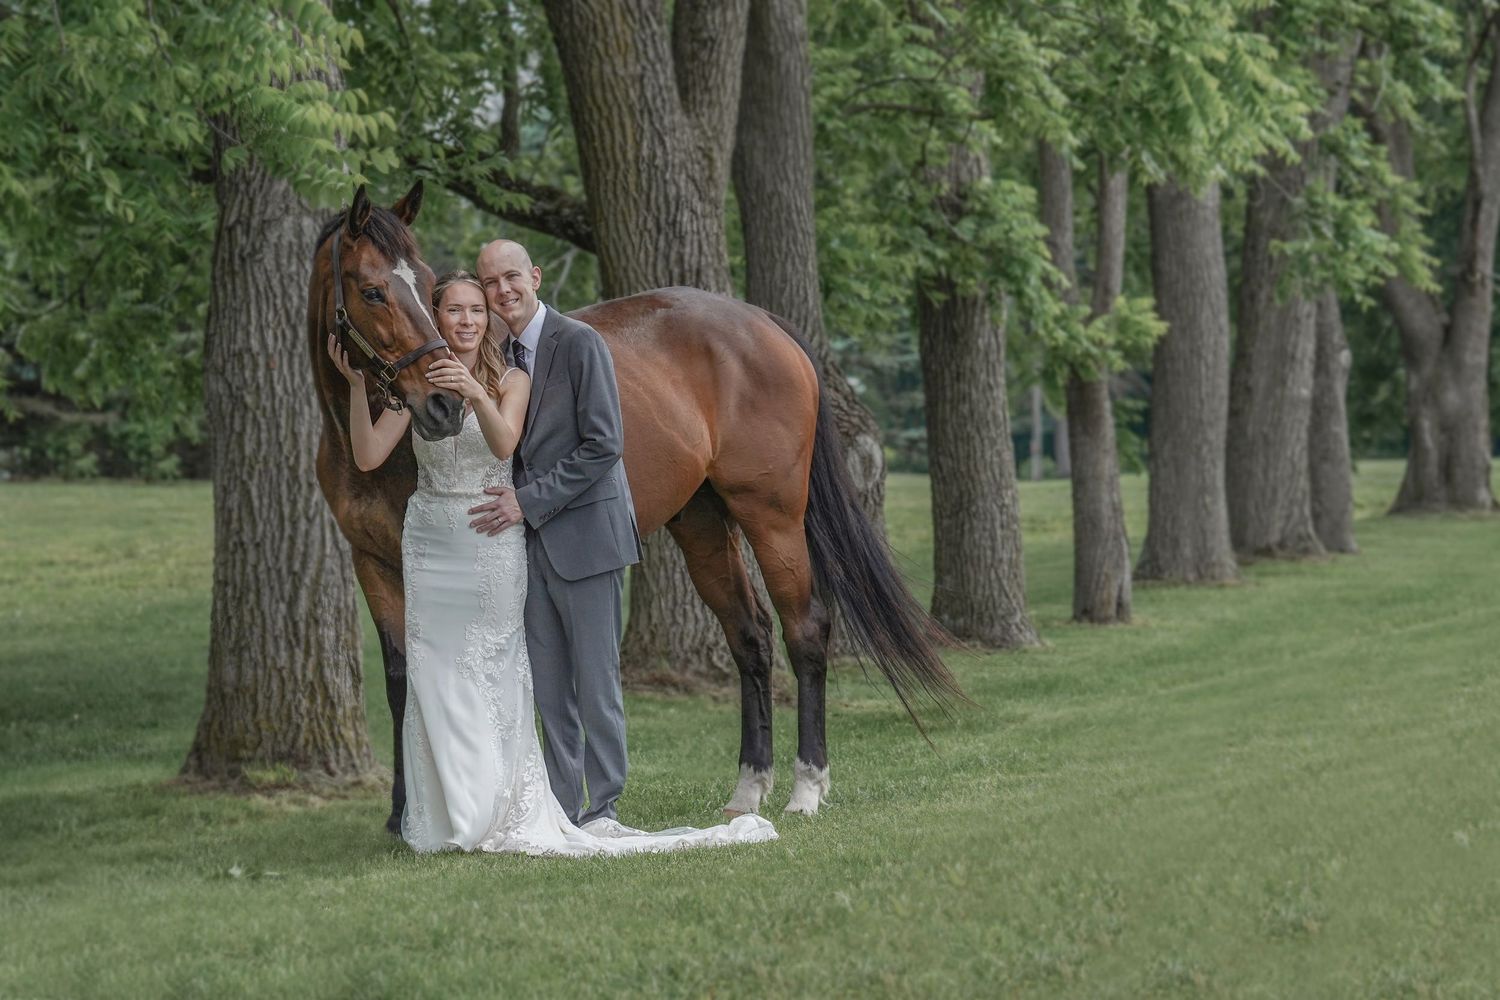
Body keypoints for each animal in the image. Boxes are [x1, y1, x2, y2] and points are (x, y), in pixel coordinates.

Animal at [310, 182, 960, 832]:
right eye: (373, 290)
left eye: (427, 285)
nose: (443, 405)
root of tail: (762, 322)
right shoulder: (374, 563)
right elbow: (402, 679)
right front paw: (403, 816)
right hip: (702, 522)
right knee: (749, 635)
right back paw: (748, 790)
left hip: (772, 517)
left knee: (805, 629)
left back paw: (807, 788)